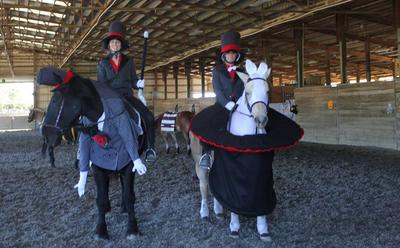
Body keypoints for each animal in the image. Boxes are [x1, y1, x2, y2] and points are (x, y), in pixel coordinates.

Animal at [190, 59, 272, 241]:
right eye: (247, 92)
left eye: (267, 91)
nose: (260, 120)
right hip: (200, 165)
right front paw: (234, 226)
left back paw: (219, 211)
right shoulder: (231, 170)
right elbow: (232, 196)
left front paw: (263, 229)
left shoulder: (261, 170)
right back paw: (205, 213)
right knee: (204, 186)